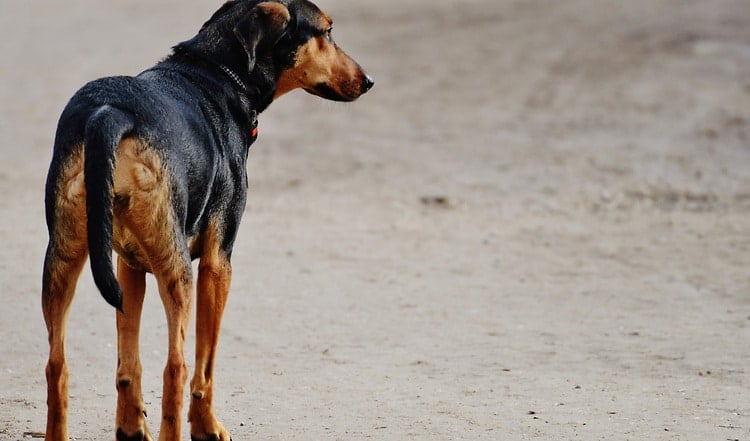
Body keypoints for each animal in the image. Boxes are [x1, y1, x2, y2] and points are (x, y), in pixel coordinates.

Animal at [41, 1, 374, 438]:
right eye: (328, 31)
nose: (369, 81)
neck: (216, 70)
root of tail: (110, 114)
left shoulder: (129, 265)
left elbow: (129, 363)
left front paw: (131, 427)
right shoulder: (218, 264)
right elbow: (206, 364)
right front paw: (207, 425)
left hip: (62, 259)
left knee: (57, 365)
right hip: (177, 270)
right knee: (177, 367)